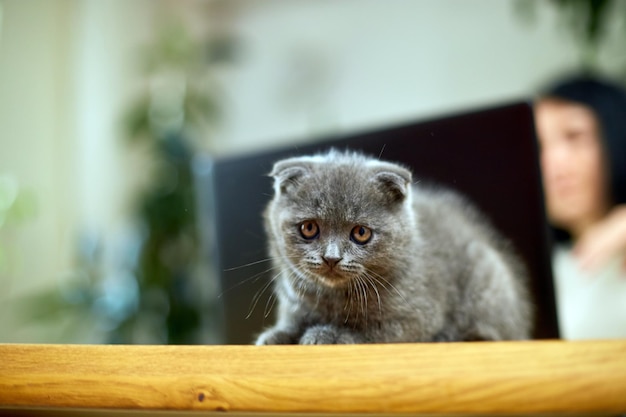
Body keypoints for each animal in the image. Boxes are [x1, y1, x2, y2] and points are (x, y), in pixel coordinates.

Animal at [254, 150, 532, 344]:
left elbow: (373, 331)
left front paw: (327, 334)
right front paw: (275, 336)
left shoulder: (418, 316)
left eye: (361, 233)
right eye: (309, 228)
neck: (332, 299)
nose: (331, 257)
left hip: (489, 277)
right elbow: (290, 323)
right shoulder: (293, 302)